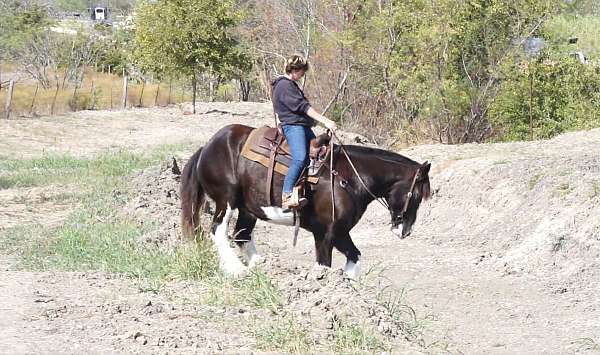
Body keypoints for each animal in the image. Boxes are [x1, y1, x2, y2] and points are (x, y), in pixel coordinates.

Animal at [179, 124, 432, 280]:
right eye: (416, 195)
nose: (405, 231)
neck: (349, 177)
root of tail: (206, 147)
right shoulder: (325, 234)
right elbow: (324, 264)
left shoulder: (340, 232)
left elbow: (355, 256)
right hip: (227, 200)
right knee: (218, 230)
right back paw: (237, 269)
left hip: (247, 209)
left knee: (242, 235)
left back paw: (261, 266)